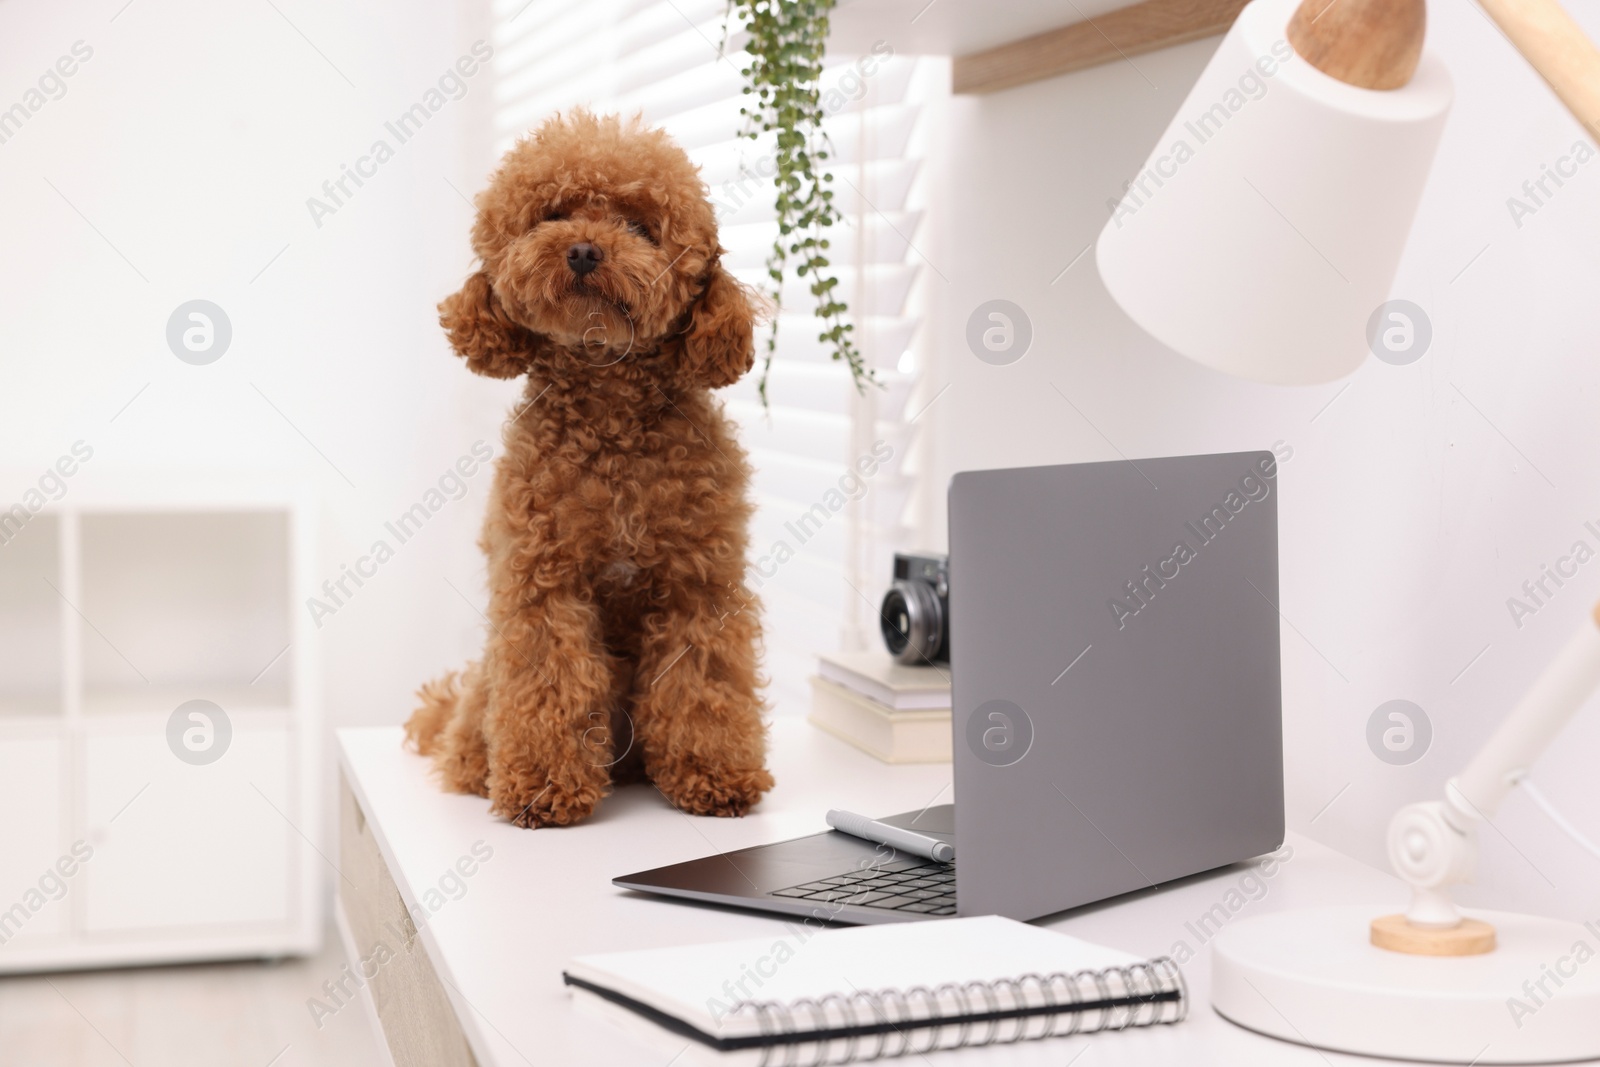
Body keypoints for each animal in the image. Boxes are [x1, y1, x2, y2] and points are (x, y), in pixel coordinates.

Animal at [403, 110, 771, 825]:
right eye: (552, 215)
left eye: (640, 227)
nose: (582, 251)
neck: (610, 416)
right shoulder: (542, 583)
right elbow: (550, 679)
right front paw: (544, 789)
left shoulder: (698, 585)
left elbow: (703, 685)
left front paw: (712, 775)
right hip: (485, 683)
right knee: (470, 731)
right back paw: (478, 767)